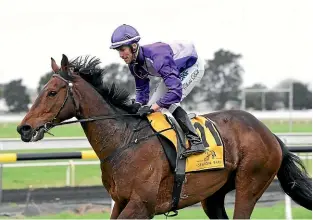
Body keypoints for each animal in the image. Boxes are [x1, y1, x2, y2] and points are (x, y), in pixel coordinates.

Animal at [17, 54, 310, 218]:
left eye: (51, 92)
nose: (24, 128)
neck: (124, 141)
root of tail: (270, 134)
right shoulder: (121, 202)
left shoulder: (141, 205)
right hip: (213, 195)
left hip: (251, 184)